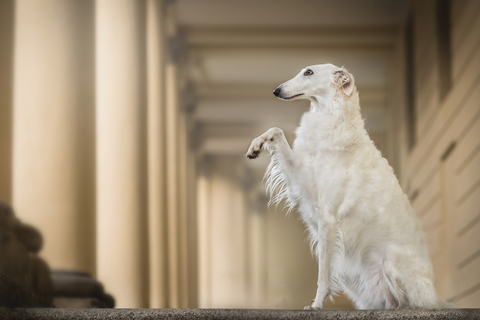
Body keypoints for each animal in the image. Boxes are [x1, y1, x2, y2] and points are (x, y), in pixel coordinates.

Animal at [246, 63, 448, 310]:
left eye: (309, 72)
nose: (276, 91)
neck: (332, 118)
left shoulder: (328, 219)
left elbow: (323, 276)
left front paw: (316, 305)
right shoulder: (302, 182)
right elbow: (276, 130)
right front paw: (255, 145)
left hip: (392, 260)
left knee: (411, 303)